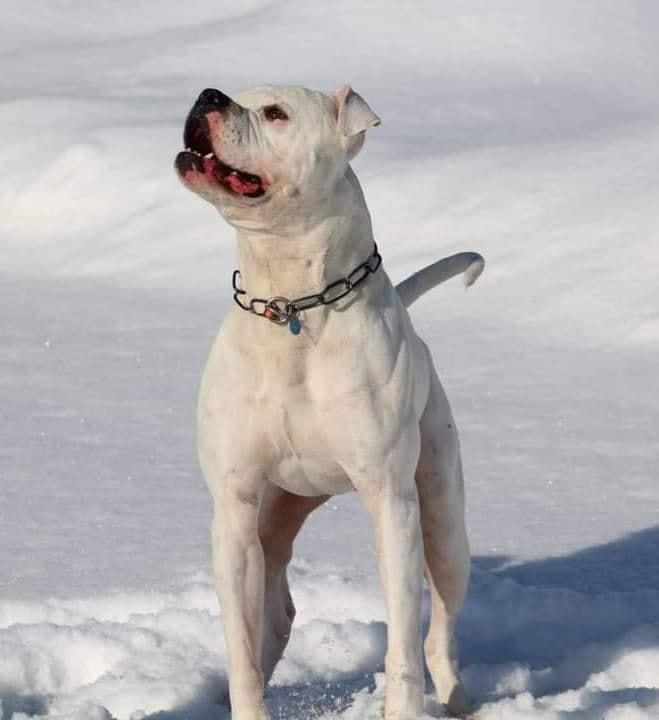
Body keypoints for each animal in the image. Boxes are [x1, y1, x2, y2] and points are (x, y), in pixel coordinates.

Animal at [175, 86, 484, 720]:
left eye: (275, 114)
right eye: (228, 93)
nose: (207, 96)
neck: (291, 302)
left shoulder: (392, 504)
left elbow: (402, 642)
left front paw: (403, 708)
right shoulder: (235, 510)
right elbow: (241, 644)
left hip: (443, 521)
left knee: (438, 630)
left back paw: (456, 696)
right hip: (271, 521)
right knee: (272, 615)